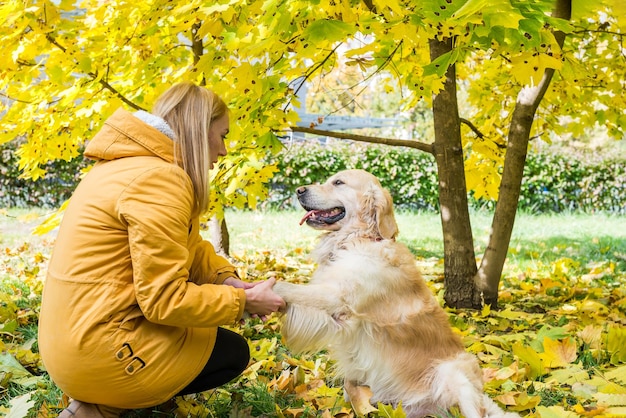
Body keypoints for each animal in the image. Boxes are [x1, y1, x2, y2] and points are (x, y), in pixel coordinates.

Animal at [272, 170, 516, 418]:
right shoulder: (338, 318)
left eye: (338, 182)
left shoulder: (339, 299)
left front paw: (267, 288)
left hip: (454, 373)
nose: (299, 190)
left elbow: (284, 286)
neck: (359, 240)